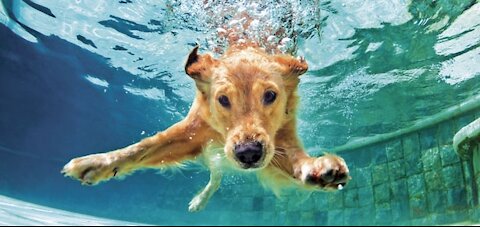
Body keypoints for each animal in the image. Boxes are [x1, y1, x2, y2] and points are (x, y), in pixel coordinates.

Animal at [62, 43, 350, 212]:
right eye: (223, 99)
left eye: (270, 95)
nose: (248, 153)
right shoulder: (192, 131)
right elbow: (143, 147)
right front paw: (97, 163)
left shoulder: (280, 141)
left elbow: (297, 160)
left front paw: (319, 169)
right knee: (216, 175)